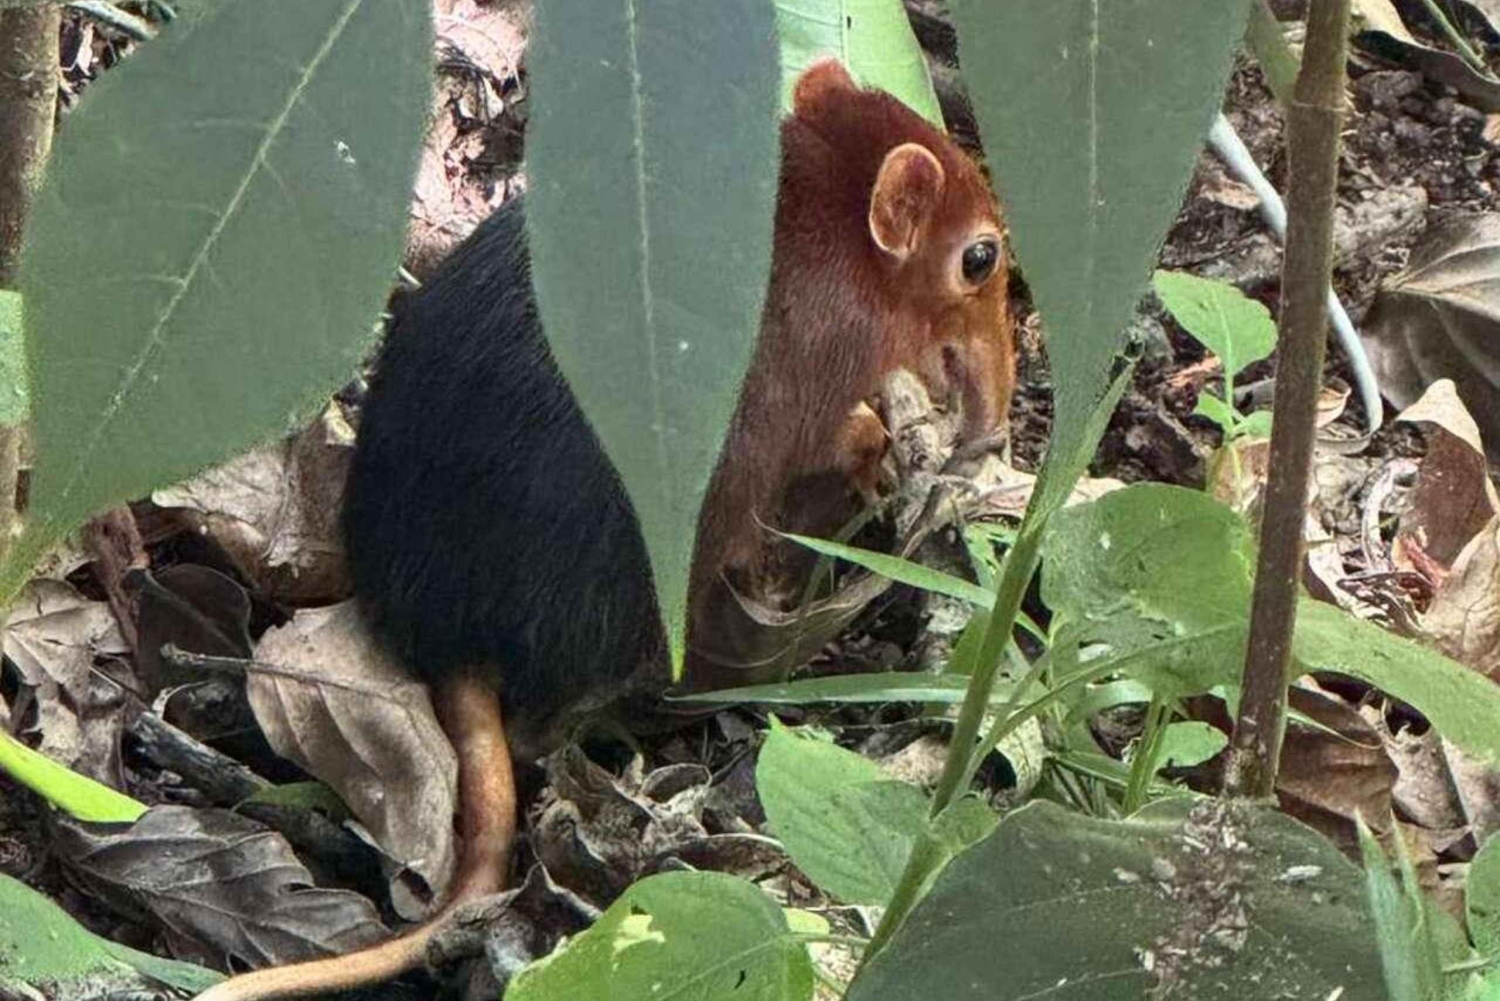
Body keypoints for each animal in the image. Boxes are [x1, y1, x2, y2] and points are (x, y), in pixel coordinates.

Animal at [193, 58, 1012, 1001]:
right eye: (979, 257)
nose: (992, 429)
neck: (828, 198)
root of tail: (447, 627)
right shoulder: (821, 377)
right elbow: (834, 437)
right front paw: (879, 448)